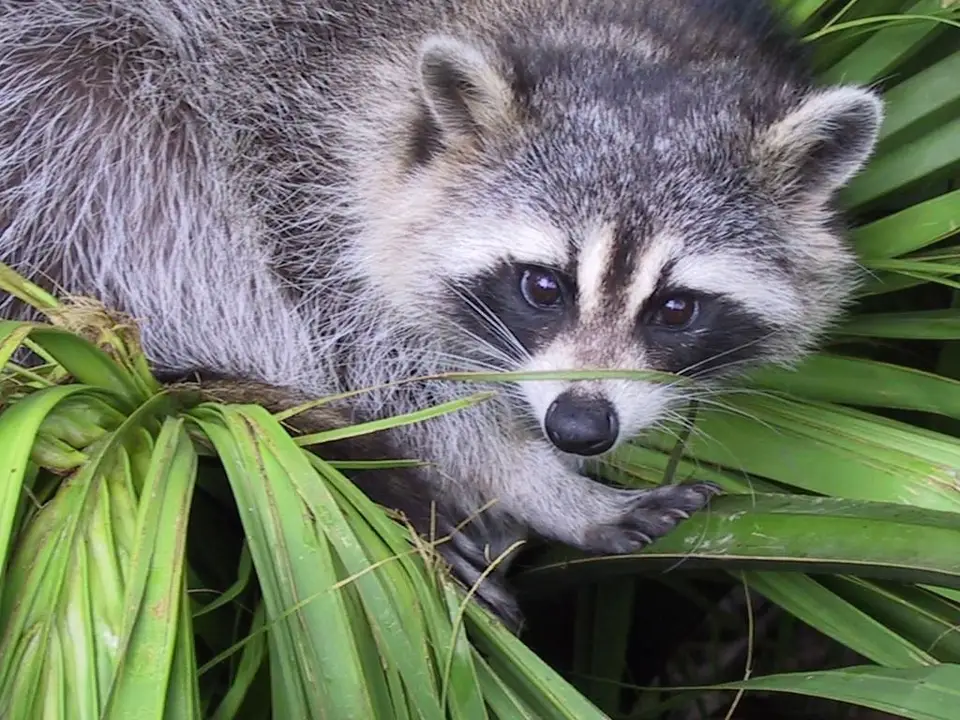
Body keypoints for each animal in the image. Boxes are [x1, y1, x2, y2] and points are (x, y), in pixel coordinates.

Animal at [0, 0, 882, 627]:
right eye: (542, 287)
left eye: (675, 308)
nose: (578, 428)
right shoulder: (291, 151)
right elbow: (381, 365)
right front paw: (535, 482)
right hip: (67, 101)